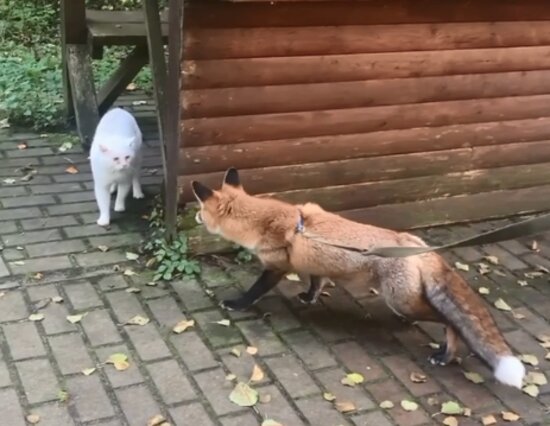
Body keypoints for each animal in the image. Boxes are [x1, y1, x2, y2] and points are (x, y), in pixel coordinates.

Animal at [192, 168, 528, 388]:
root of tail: (415, 245)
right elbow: (316, 283)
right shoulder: (316, 265)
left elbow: (254, 291)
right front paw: (309, 298)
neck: (264, 220)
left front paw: (237, 304)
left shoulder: (275, 267)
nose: (195, 217)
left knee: (450, 322)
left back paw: (444, 355)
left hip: (402, 301)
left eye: (200, 209)